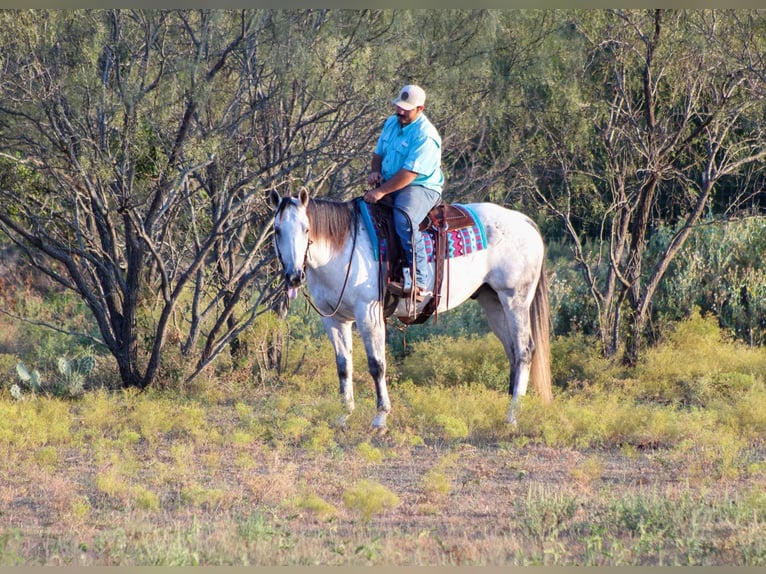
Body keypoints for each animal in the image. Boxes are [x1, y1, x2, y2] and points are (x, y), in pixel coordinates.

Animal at [270, 188, 552, 432]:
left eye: (306, 229)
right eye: (277, 230)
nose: (294, 277)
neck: (342, 248)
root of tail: (524, 221)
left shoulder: (369, 313)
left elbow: (377, 365)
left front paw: (380, 418)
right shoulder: (335, 320)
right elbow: (343, 365)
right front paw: (343, 415)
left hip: (515, 299)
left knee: (524, 351)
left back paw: (513, 416)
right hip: (492, 301)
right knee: (513, 352)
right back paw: (510, 408)